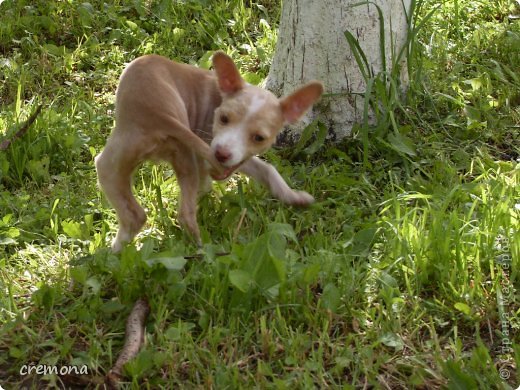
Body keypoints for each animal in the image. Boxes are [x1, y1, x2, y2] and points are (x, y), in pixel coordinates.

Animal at [94, 51, 320, 251]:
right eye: (224, 118)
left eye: (259, 138)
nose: (221, 154)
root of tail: (158, 112)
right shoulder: (217, 151)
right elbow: (265, 169)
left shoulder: (226, 155)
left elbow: (267, 170)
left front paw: (292, 197)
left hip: (122, 161)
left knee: (153, 214)